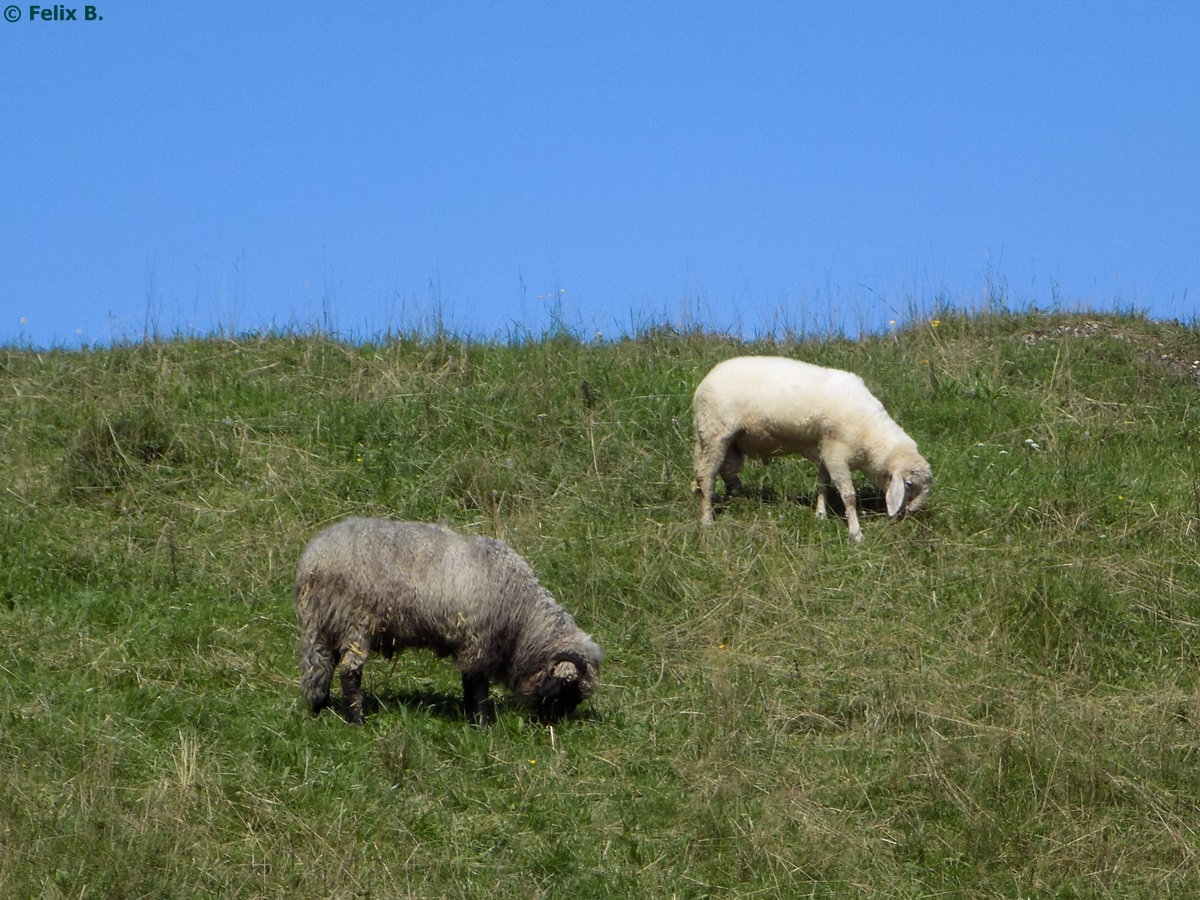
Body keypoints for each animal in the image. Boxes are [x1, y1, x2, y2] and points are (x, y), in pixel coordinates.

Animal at [295, 520, 604, 724]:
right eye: (569, 689)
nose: (556, 725)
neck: (521, 617)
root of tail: (314, 559)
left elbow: (469, 681)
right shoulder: (479, 641)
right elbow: (477, 684)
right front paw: (482, 723)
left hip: (320, 625)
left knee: (320, 666)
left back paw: (321, 708)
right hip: (354, 623)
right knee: (349, 671)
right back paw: (357, 720)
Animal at [691, 357, 931, 542]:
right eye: (909, 484)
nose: (912, 512)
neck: (870, 434)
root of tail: (704, 382)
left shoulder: (826, 450)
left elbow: (822, 484)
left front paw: (820, 515)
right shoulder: (837, 453)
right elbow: (848, 496)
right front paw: (856, 533)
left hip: (727, 442)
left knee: (726, 471)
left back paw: (739, 498)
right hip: (715, 433)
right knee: (706, 476)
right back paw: (707, 520)